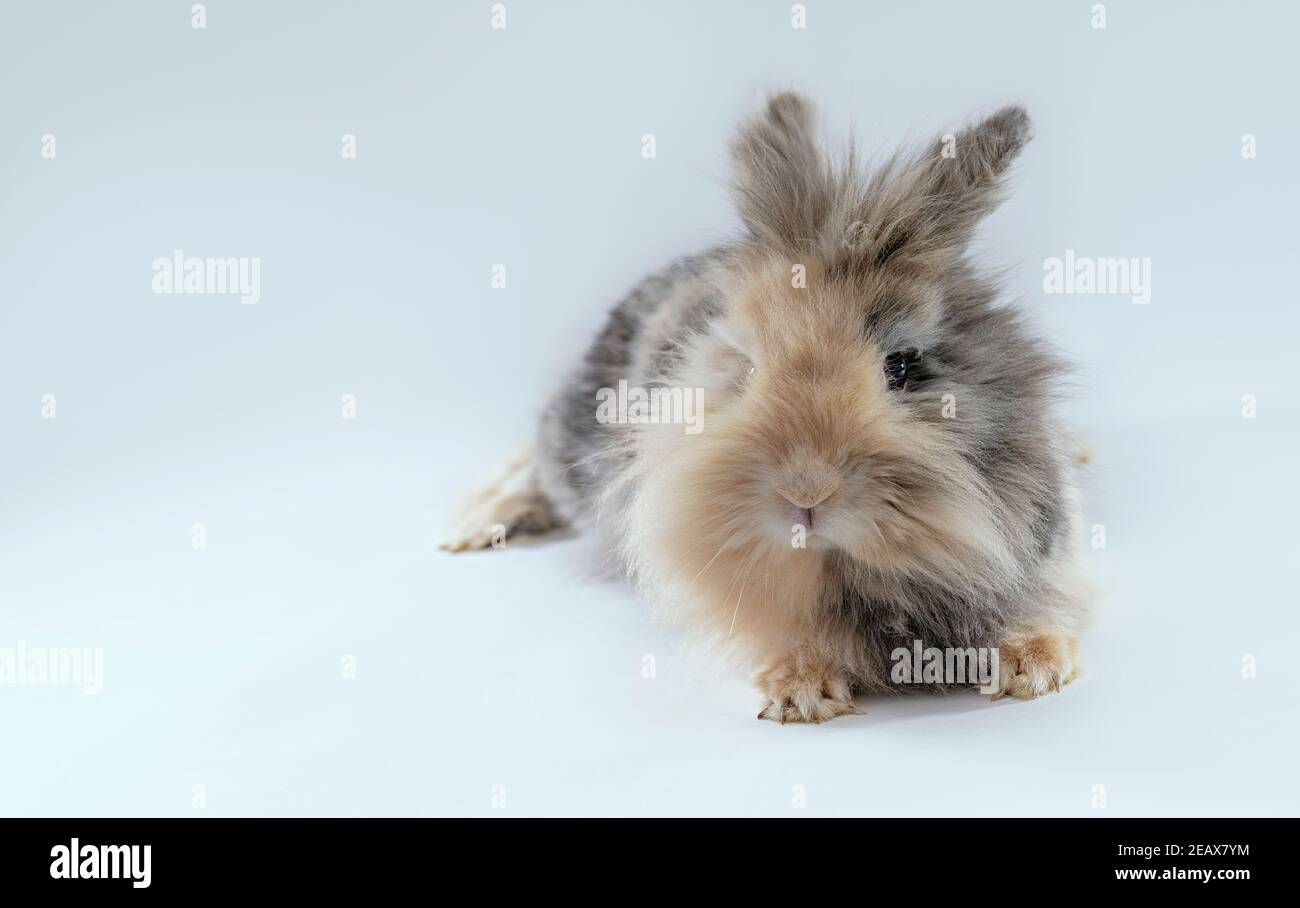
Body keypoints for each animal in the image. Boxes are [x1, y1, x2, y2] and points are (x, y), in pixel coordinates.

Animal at [444, 92, 1089, 722]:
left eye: (902, 366)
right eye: (748, 366)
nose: (806, 491)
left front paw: (1035, 666)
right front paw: (801, 691)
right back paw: (478, 524)